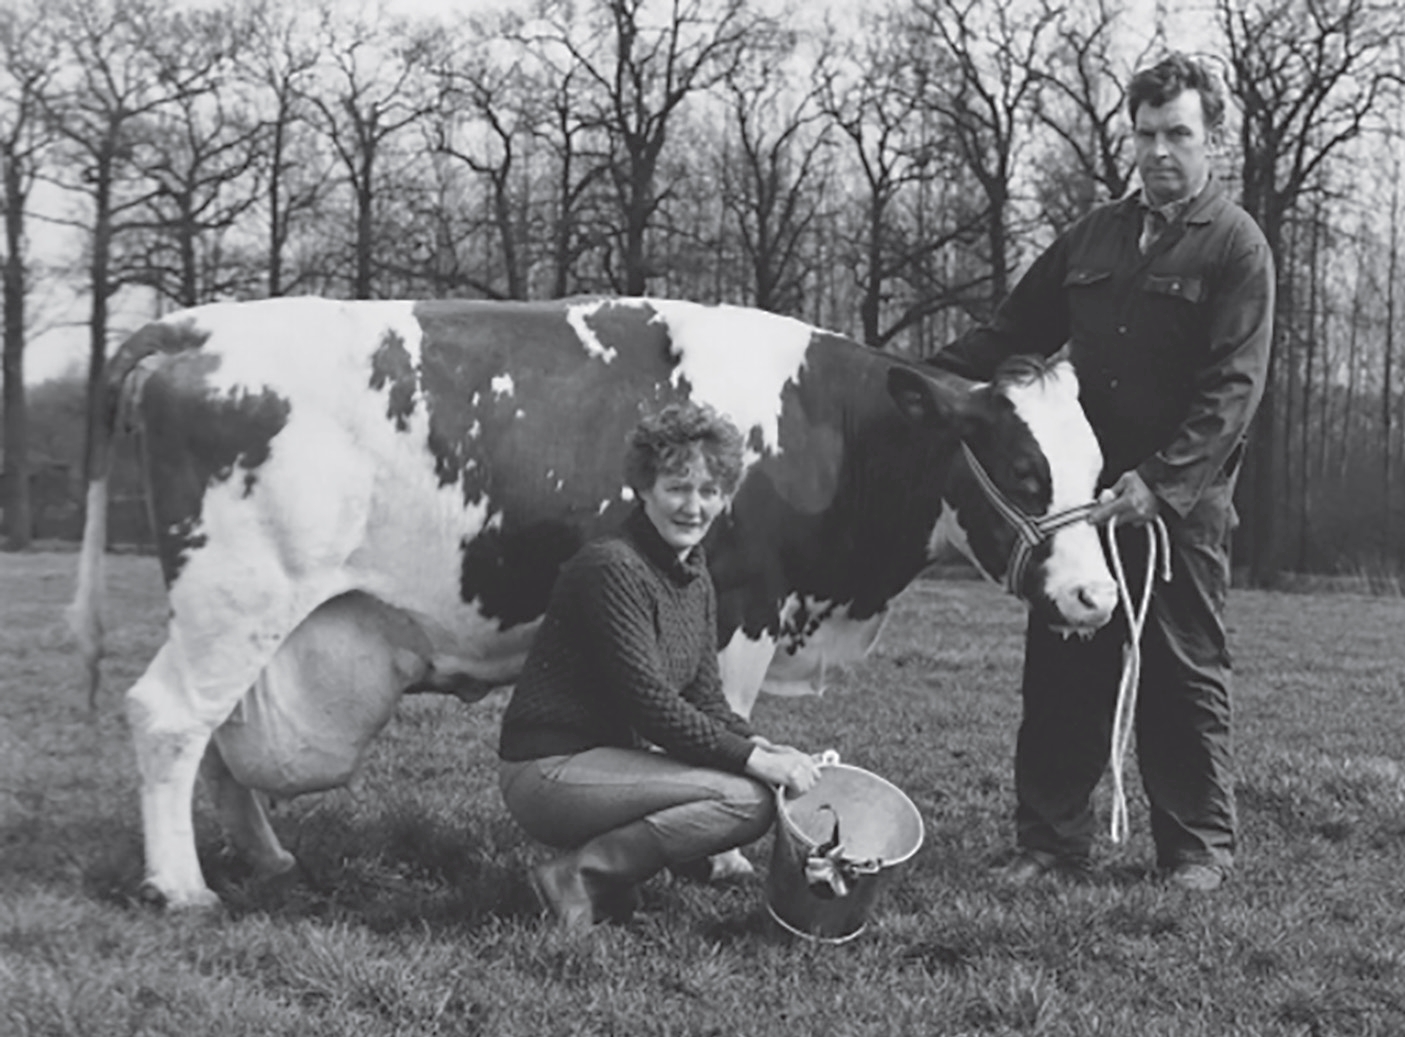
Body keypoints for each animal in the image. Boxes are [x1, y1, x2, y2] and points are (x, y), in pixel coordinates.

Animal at [68, 296, 1118, 904]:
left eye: (1097, 468)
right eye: (1023, 470)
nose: (1094, 594)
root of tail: (193, 325)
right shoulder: (740, 607)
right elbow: (727, 726)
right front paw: (727, 860)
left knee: (221, 737)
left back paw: (265, 859)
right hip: (235, 594)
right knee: (169, 717)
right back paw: (182, 886)